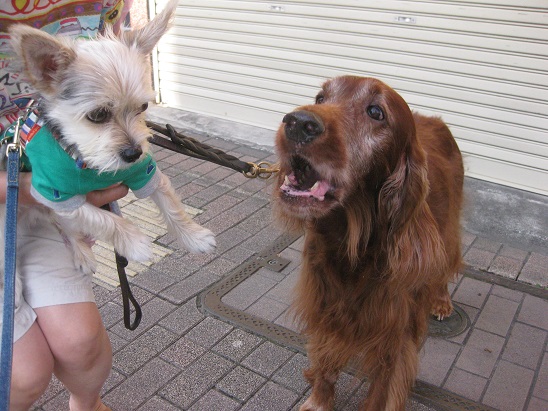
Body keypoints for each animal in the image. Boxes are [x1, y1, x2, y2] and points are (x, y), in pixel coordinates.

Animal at [5, 0, 216, 276]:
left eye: (143, 107)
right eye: (97, 115)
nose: (133, 153)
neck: (88, 163)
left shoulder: (144, 171)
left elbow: (170, 204)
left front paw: (194, 236)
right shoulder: (54, 193)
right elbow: (103, 219)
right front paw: (136, 243)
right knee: (64, 229)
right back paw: (80, 256)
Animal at [274, 75, 462, 410]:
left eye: (376, 112)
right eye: (320, 97)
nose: (297, 123)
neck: (353, 245)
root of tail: (435, 120)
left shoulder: (395, 337)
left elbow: (382, 391)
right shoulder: (326, 308)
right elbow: (325, 364)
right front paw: (319, 401)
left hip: (447, 228)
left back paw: (441, 301)